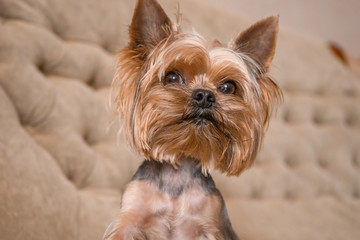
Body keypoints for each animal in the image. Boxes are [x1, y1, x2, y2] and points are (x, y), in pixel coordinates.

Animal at [103, 0, 282, 238]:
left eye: (228, 87)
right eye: (172, 77)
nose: (205, 95)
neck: (177, 172)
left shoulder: (211, 224)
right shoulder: (131, 216)